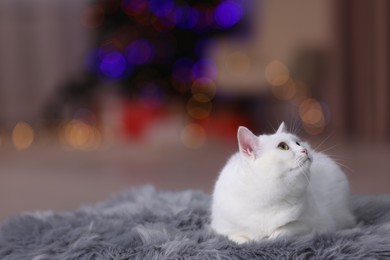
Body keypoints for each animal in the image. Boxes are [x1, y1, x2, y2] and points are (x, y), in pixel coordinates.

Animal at [212, 122, 354, 244]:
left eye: (297, 143)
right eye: (283, 146)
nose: (305, 150)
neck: (266, 198)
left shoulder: (312, 224)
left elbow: (282, 232)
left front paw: (269, 239)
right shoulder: (222, 226)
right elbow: (237, 237)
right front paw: (250, 241)